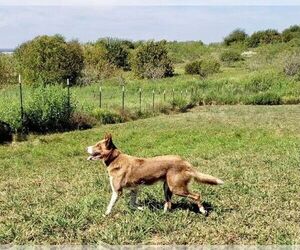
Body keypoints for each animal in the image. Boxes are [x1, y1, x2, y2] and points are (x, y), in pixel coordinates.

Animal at [86, 134, 223, 216]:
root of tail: (184, 161)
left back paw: (203, 210)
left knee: (196, 195)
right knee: (168, 203)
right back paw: (163, 214)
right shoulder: (134, 189)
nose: (85, 148)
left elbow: (110, 205)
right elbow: (132, 204)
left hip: (176, 188)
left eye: (97, 145)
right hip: (167, 187)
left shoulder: (117, 191)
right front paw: (142, 209)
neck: (115, 158)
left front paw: (106, 214)